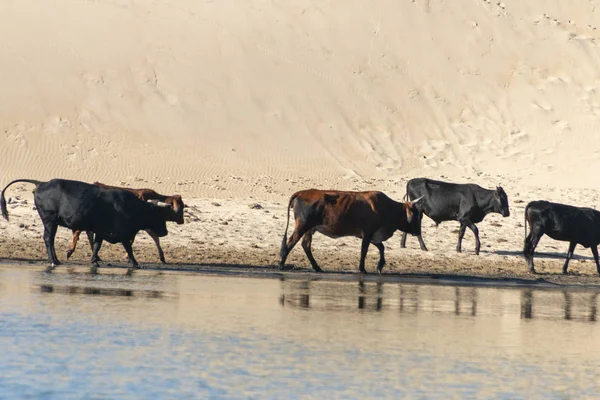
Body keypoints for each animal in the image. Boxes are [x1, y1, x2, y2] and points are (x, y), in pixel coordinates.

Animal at [280, 189, 424, 274]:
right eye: (416, 215)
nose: (418, 232)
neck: (388, 208)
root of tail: (301, 192)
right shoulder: (368, 233)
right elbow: (364, 251)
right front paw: (362, 269)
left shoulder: (371, 235)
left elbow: (381, 247)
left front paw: (380, 265)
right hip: (302, 226)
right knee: (291, 242)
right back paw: (281, 264)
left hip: (310, 229)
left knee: (306, 245)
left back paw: (317, 267)